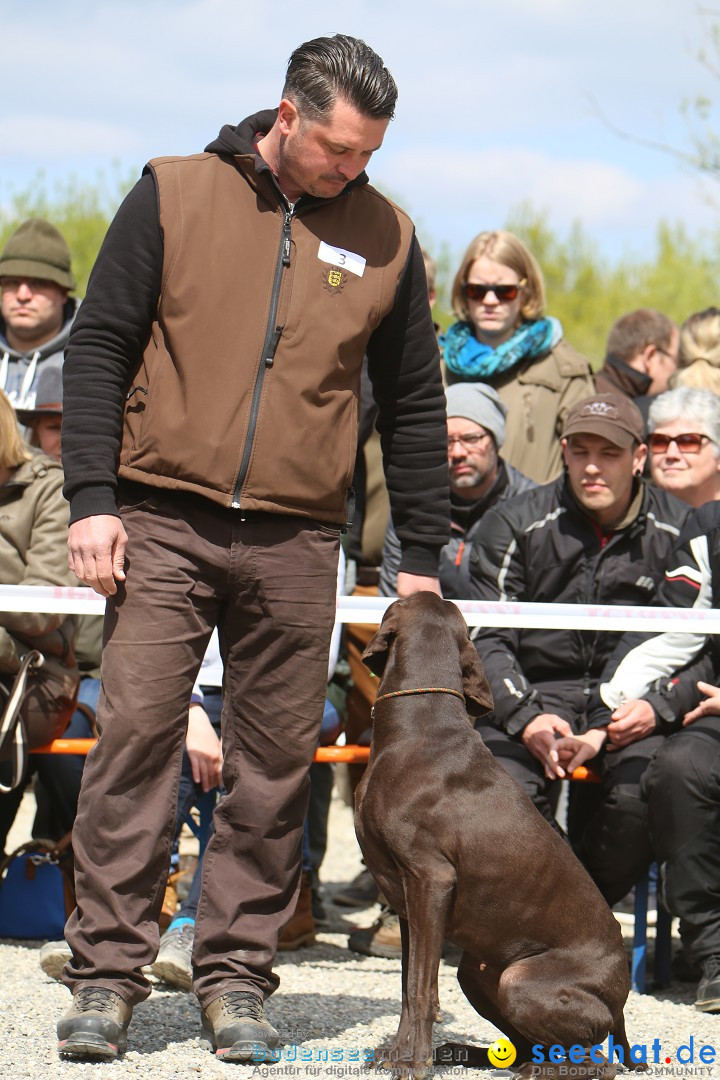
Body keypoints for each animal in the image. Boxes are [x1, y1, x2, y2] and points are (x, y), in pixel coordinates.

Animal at [354, 596, 634, 1075]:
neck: (418, 730)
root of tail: (621, 1003)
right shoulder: (408, 901)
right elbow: (407, 988)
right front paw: (397, 1054)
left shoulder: (430, 880)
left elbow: (421, 989)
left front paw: (413, 1062)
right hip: (479, 970)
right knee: (522, 1047)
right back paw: (469, 1054)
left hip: (520, 980)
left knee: (597, 1062)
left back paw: (542, 1071)